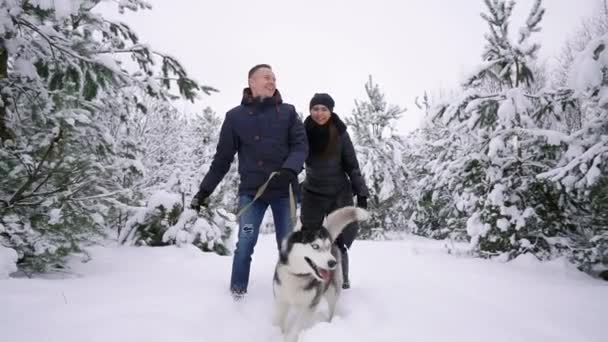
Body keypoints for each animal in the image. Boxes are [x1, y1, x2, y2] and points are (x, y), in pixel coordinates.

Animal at [272, 206, 368, 342]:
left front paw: (290, 337)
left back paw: (330, 323)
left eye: (327, 247)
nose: (332, 263)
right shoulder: (281, 301)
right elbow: (277, 323)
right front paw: (274, 334)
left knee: (332, 309)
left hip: (333, 292)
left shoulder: (310, 306)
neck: (298, 276)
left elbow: (296, 328)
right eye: (315, 246)